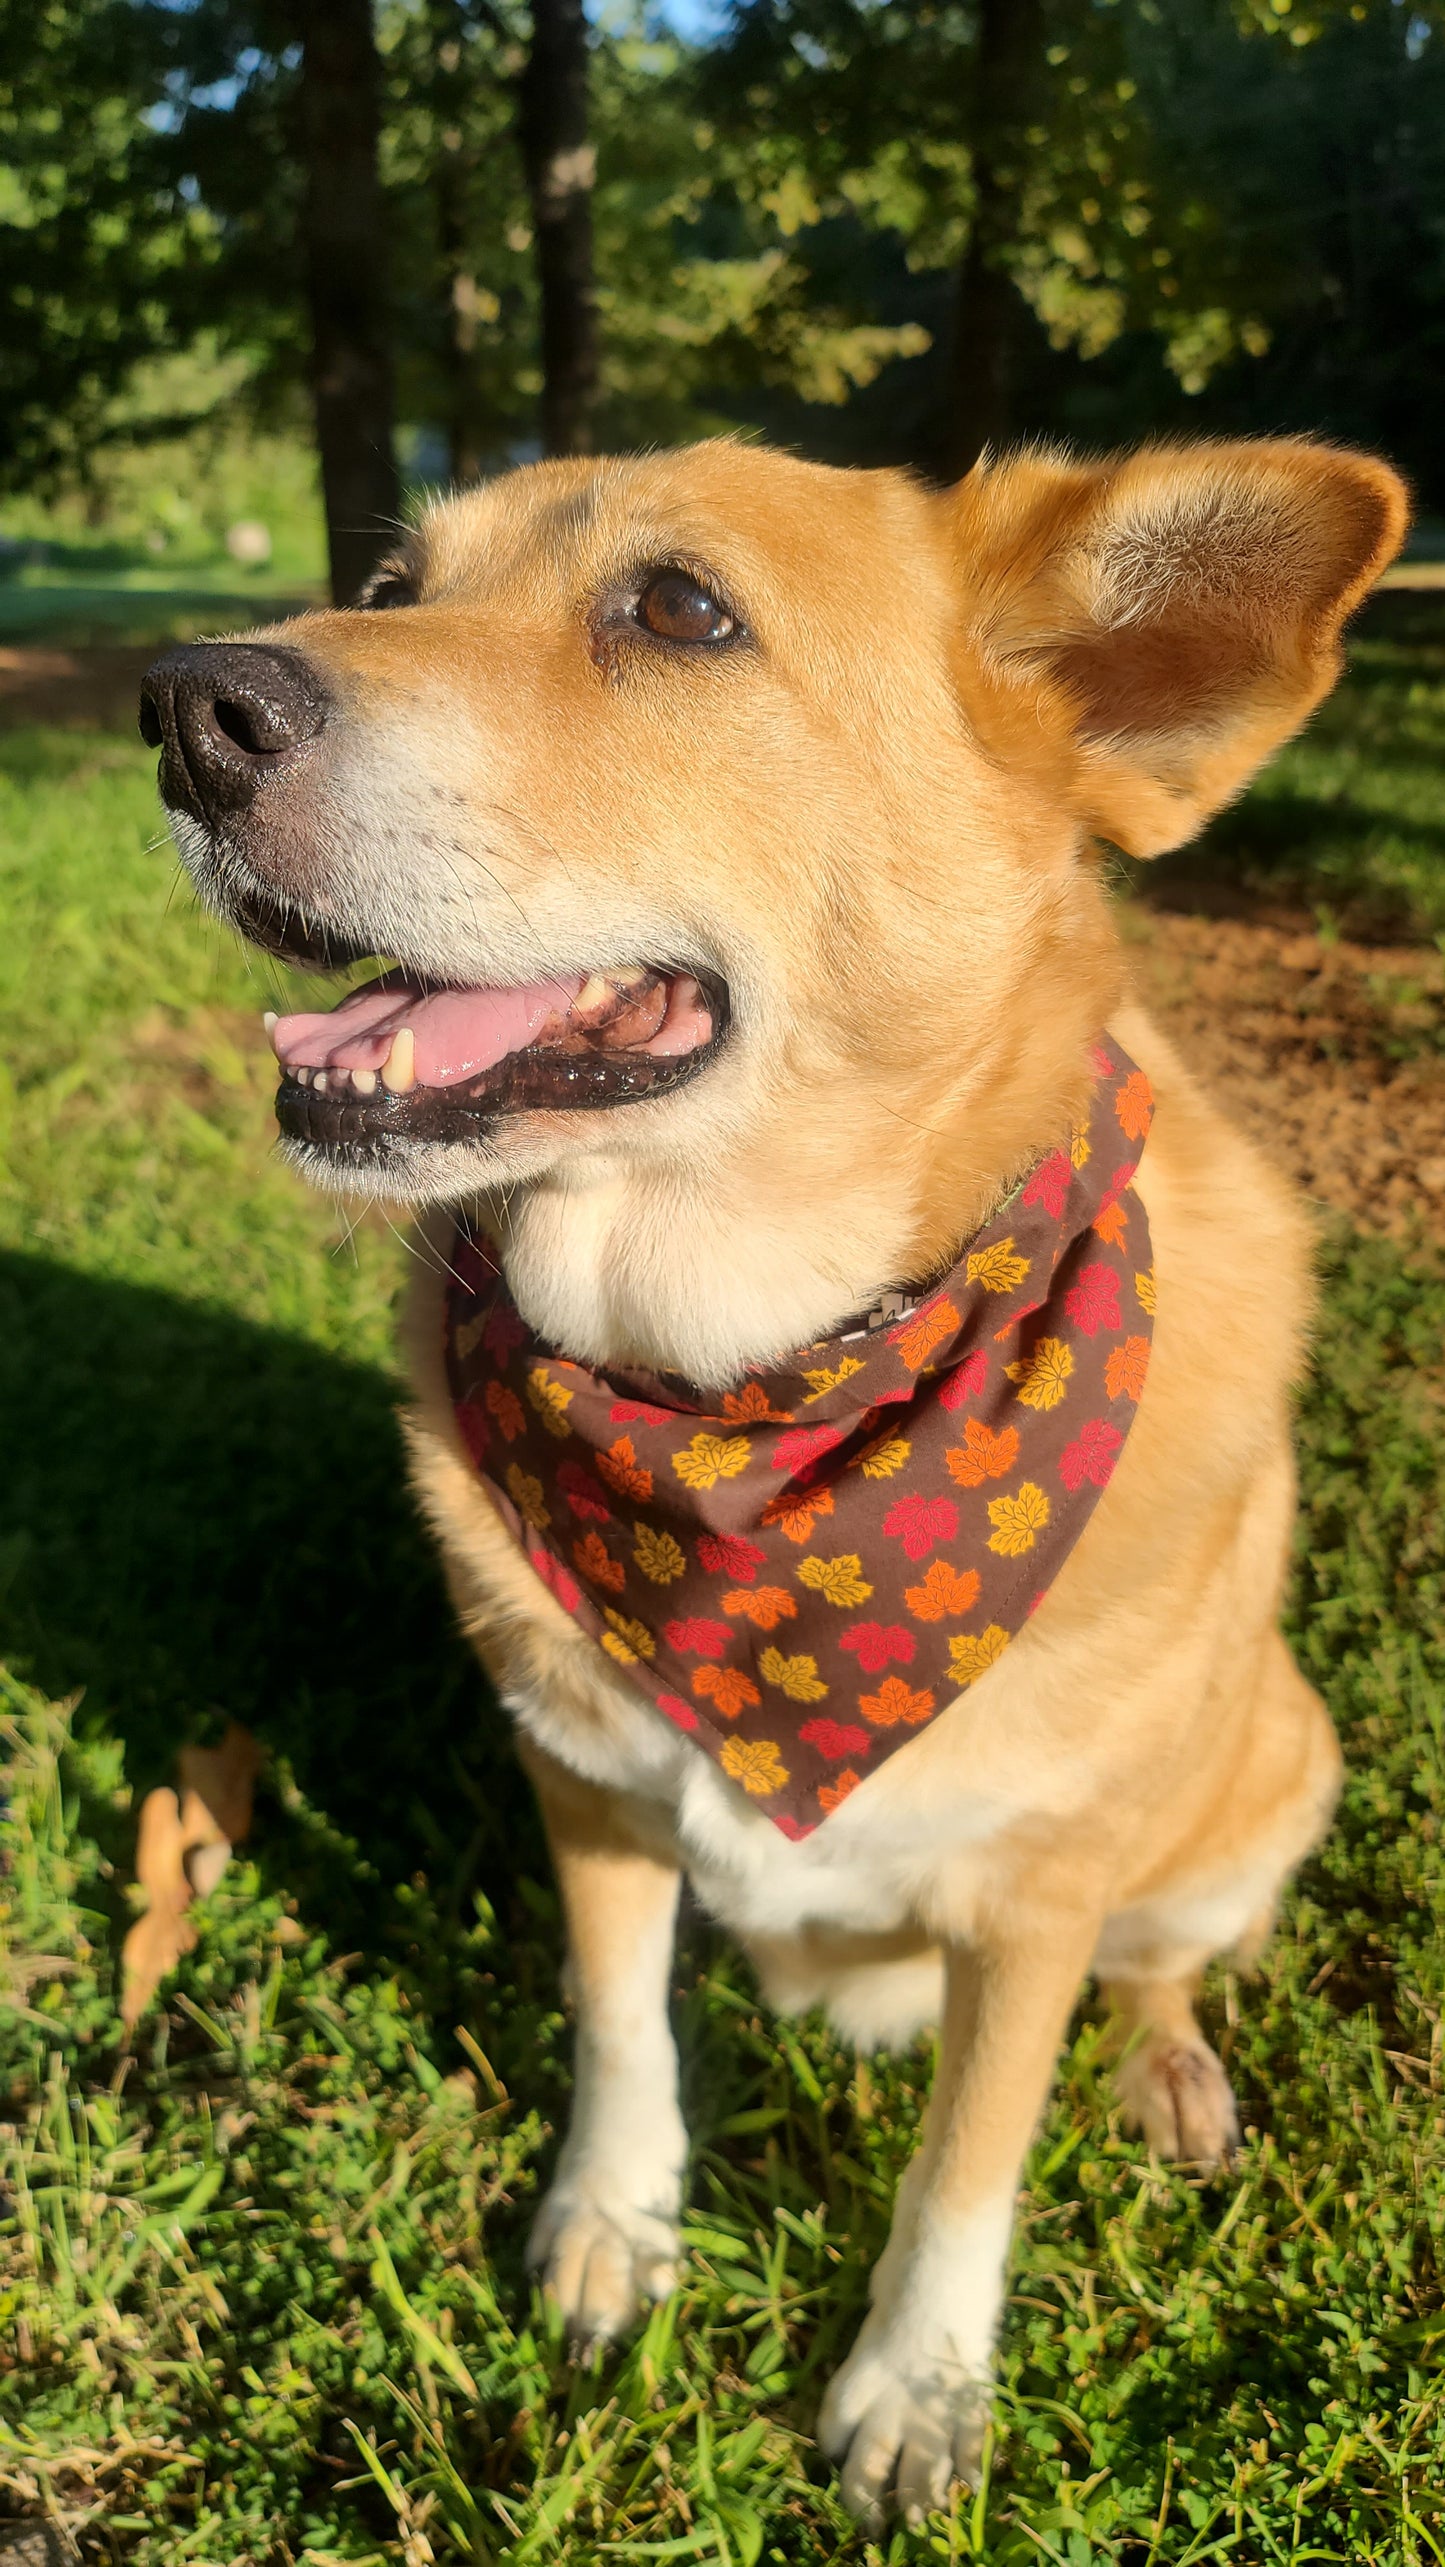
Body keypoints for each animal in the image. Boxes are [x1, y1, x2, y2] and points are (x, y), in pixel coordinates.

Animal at [144, 431, 1416, 2515]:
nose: (188, 709)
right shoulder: (586, 1780)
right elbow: (618, 2030)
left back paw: (1166, 2072)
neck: (738, 1386)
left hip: (1266, 1771)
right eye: (400, 581)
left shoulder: (1037, 1901)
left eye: (680, 609)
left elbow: (971, 2162)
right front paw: (613, 2227)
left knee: (1164, 1963)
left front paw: (918, 2385)